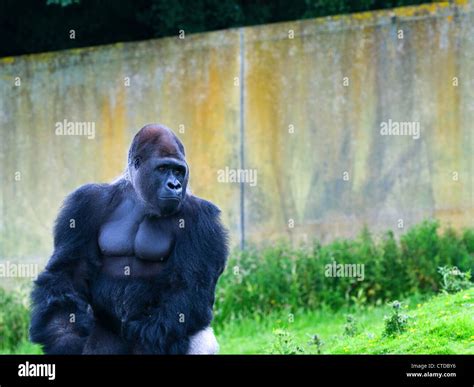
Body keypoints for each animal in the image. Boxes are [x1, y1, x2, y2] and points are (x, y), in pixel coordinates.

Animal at [30, 123, 230, 354]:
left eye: (179, 171)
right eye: (163, 169)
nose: (175, 185)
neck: (140, 198)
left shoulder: (202, 219)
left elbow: (188, 287)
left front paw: (148, 340)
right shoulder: (84, 203)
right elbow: (67, 273)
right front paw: (65, 337)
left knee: (201, 337)